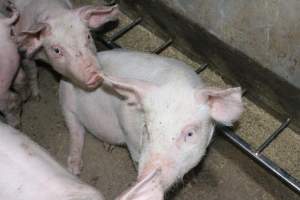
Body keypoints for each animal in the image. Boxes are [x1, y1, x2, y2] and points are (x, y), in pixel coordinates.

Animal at [59, 49, 244, 193]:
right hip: (66, 102)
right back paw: (74, 169)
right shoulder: (129, 134)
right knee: (75, 131)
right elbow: (135, 157)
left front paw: (192, 181)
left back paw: (108, 147)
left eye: (190, 133)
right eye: (147, 128)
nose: (144, 178)